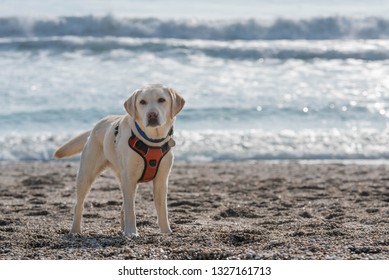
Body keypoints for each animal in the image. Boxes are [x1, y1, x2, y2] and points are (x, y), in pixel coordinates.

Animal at [53, 83, 185, 236]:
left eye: (162, 100)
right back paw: (75, 230)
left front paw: (166, 232)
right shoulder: (129, 177)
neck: (152, 140)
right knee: (79, 205)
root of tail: (94, 127)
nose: (152, 114)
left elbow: (162, 209)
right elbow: (131, 210)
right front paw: (132, 232)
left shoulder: (161, 180)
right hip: (86, 175)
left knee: (123, 205)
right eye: (142, 102)